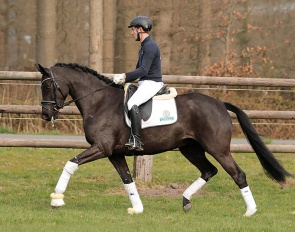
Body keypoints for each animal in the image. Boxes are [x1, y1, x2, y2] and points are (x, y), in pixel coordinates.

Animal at [35, 63, 294, 216]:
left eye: (47, 86)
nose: (46, 114)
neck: (99, 102)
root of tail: (220, 104)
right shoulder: (115, 154)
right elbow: (127, 179)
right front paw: (137, 209)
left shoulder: (102, 148)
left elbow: (70, 164)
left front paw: (56, 199)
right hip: (191, 149)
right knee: (209, 171)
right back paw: (186, 200)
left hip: (218, 149)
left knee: (237, 174)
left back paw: (250, 211)